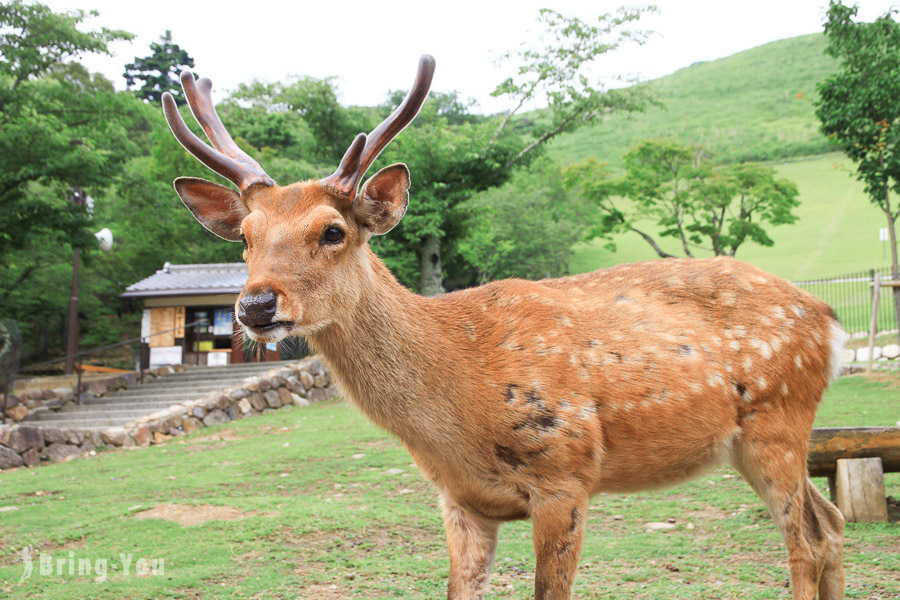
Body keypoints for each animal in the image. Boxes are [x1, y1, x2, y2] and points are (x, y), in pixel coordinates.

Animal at [163, 54, 852, 596]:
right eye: (246, 237)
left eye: (332, 231)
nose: (255, 306)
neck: (458, 407)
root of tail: (829, 319)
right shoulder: (461, 501)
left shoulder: (565, 474)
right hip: (749, 442)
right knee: (833, 524)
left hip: (778, 417)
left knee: (807, 539)